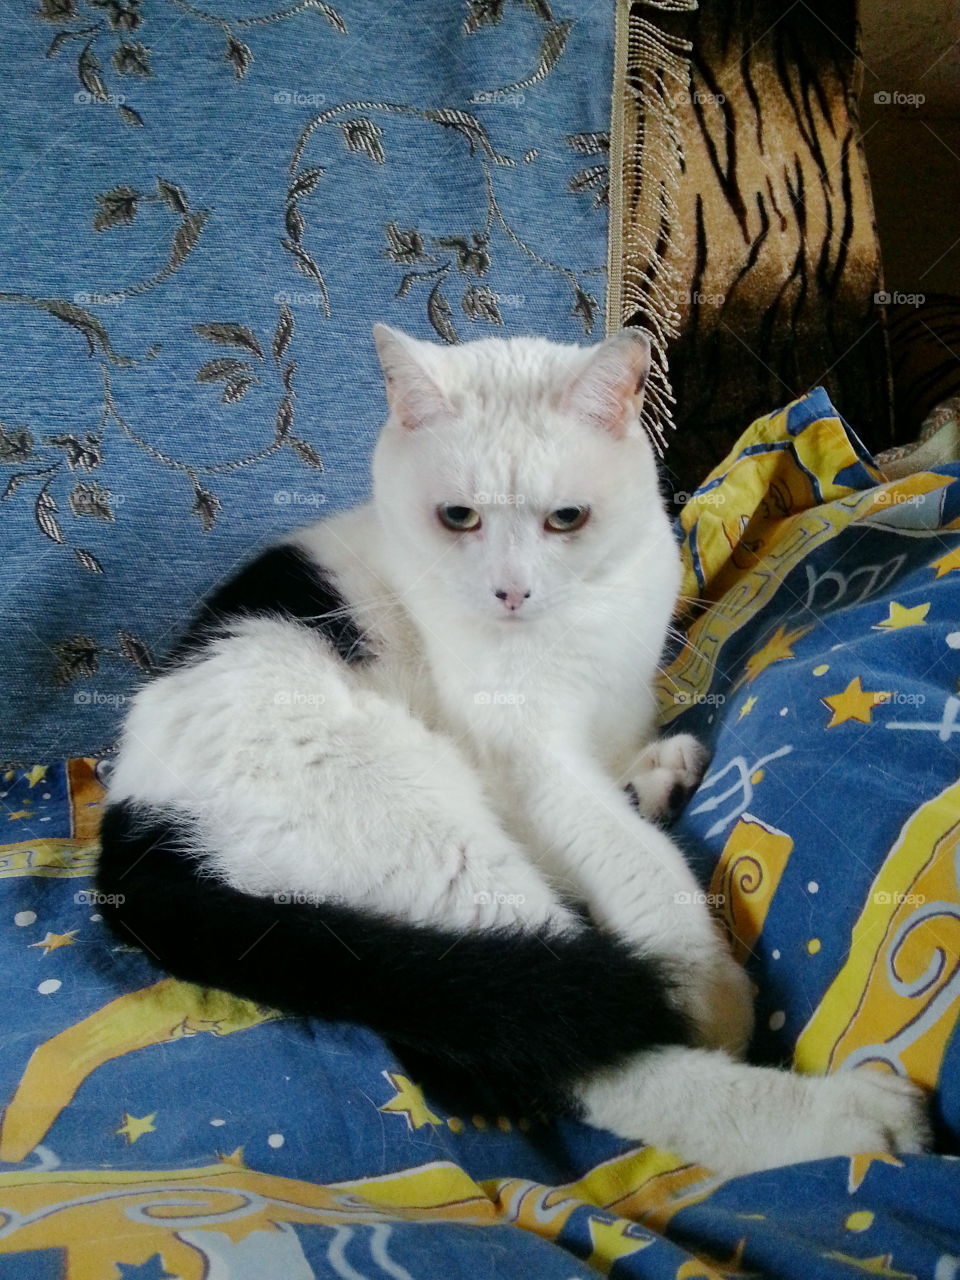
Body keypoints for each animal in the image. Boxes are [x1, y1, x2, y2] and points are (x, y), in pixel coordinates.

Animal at [94, 325, 926, 1172]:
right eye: (458, 516)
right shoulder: (527, 760)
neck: (580, 622)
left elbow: (614, 775)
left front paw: (643, 774)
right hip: (420, 832)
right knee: (562, 1037)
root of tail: (125, 829)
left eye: (567, 518)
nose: (511, 591)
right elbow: (632, 857)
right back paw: (835, 1118)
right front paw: (699, 974)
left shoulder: (615, 706)